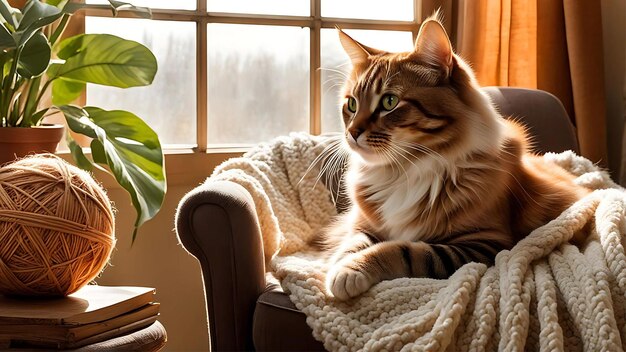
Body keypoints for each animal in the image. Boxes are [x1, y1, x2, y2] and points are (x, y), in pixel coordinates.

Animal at [322, 16, 588, 302]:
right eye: (351, 105)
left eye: (389, 102)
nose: (352, 133)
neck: (405, 169)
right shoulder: (363, 225)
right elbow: (351, 244)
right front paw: (338, 267)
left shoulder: (484, 244)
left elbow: (403, 250)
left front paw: (351, 270)